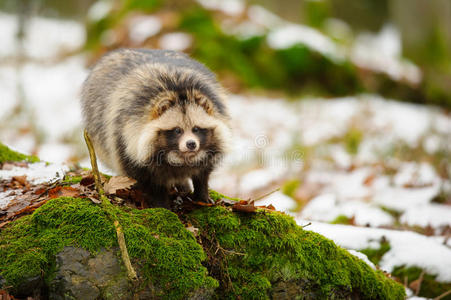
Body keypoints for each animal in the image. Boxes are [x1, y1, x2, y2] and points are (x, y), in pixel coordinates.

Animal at [80, 49, 233, 209]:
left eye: (196, 129)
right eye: (177, 130)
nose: (191, 144)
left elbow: (203, 173)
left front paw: (202, 193)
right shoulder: (123, 137)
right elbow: (149, 181)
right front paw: (162, 204)